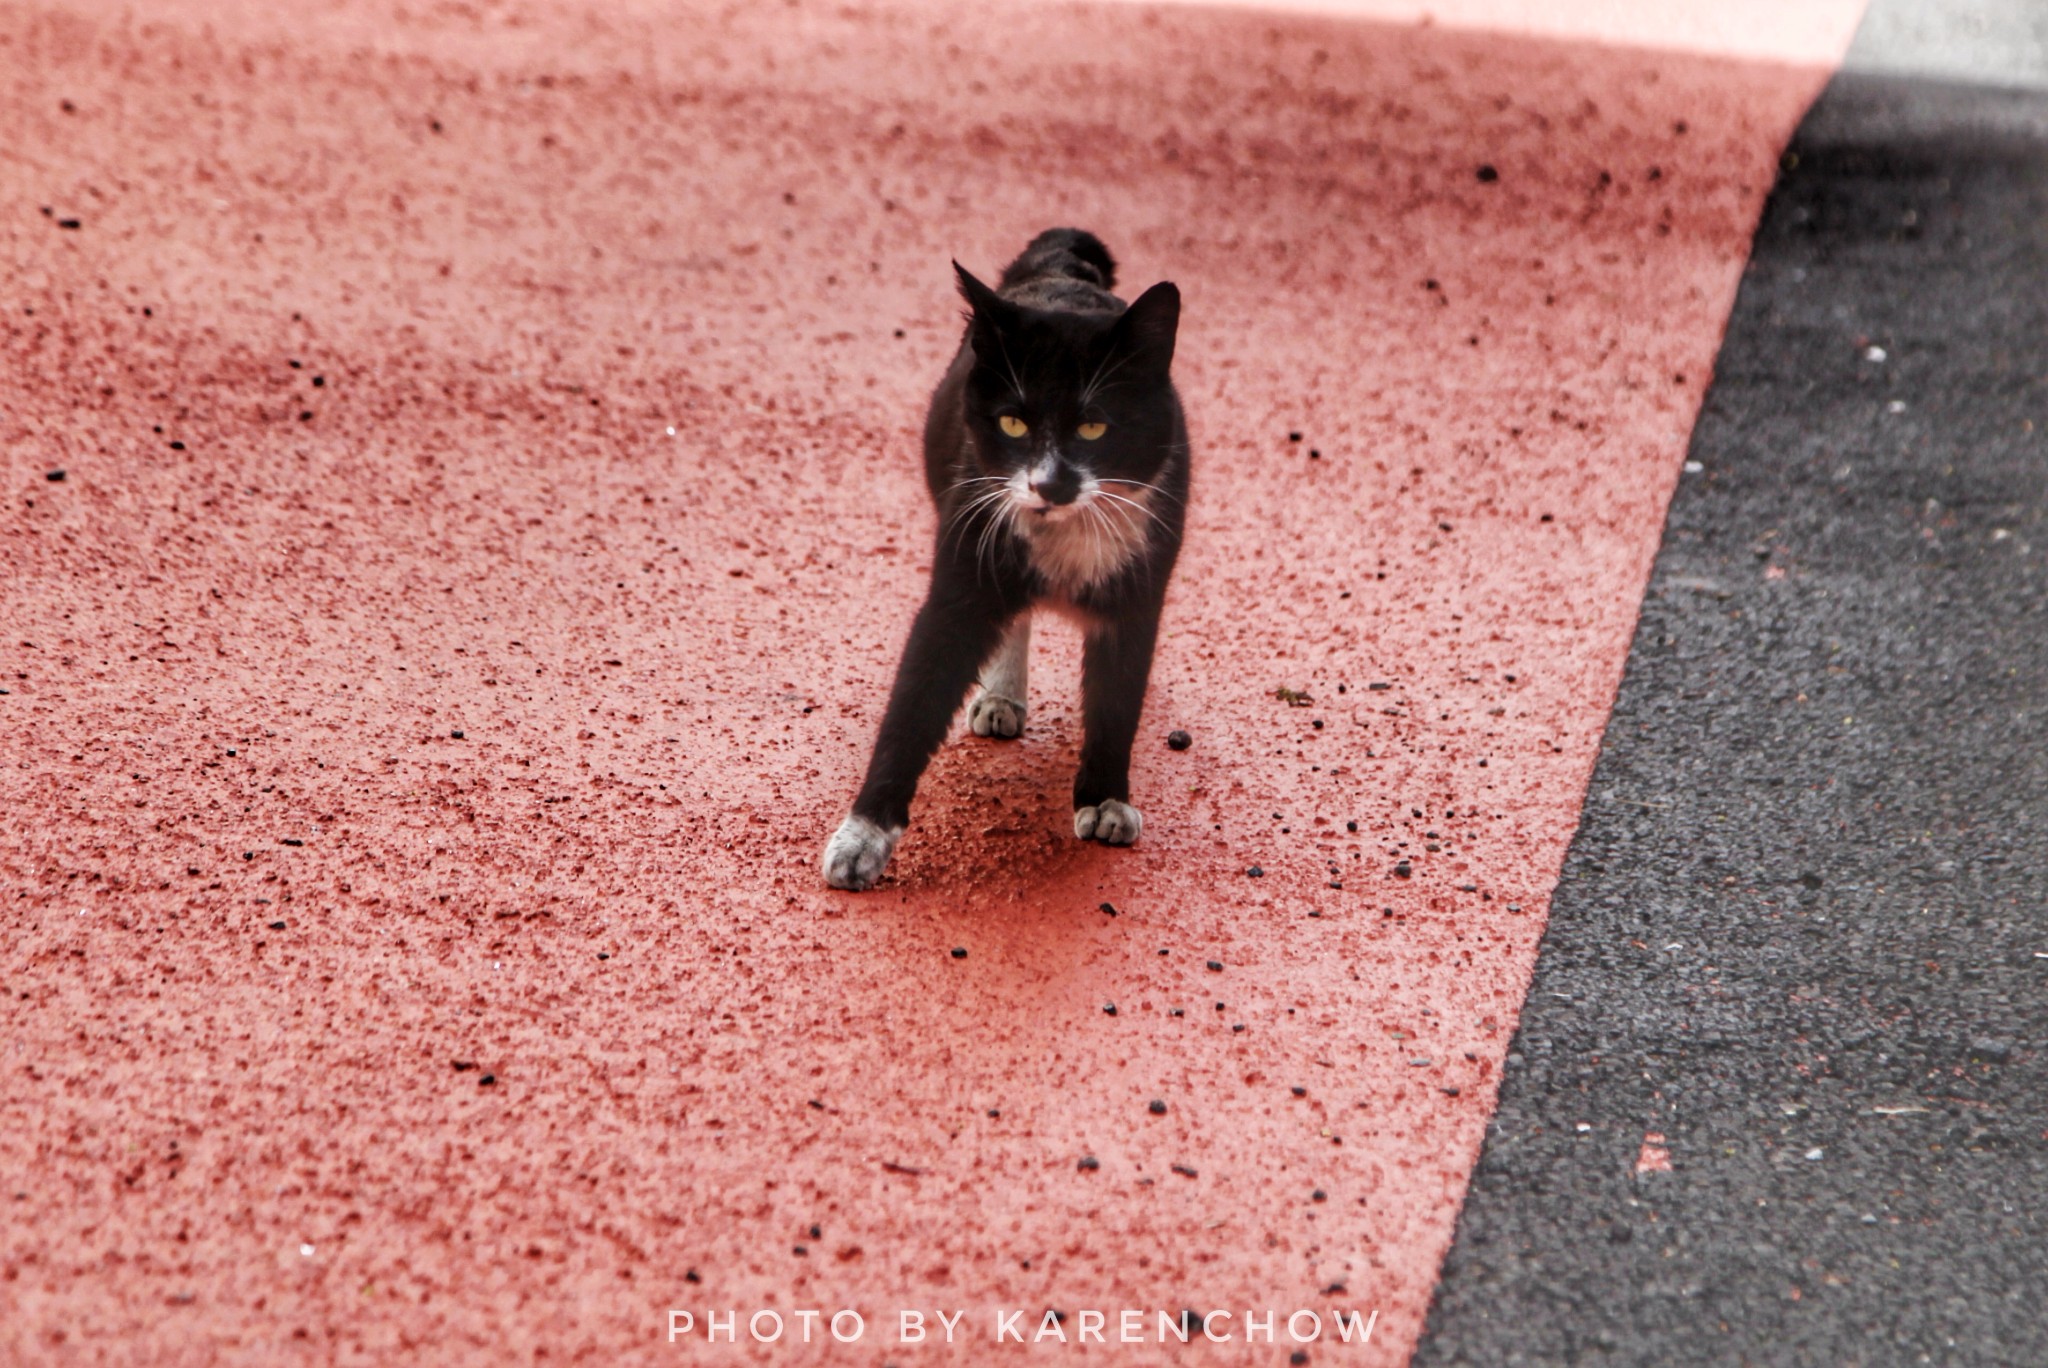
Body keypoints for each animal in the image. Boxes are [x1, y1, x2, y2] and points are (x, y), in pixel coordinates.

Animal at [823, 229, 1196, 892]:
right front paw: (860, 837)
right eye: (1013, 422)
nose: (1048, 485)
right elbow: (914, 701)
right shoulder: (962, 576)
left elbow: (1117, 697)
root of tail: (1059, 266)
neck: (1063, 534)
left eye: (1095, 427)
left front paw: (1105, 799)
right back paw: (1002, 697)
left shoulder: (1138, 595)